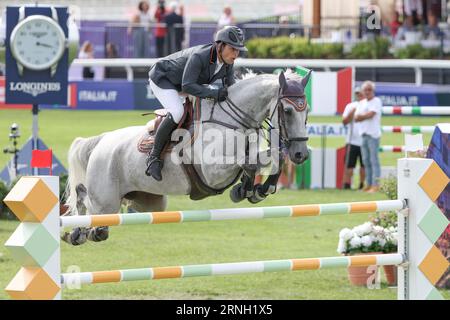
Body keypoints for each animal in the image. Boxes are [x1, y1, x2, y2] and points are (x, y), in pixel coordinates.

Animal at [61, 70, 312, 245]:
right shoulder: (212, 171)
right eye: (287, 111)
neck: (234, 121)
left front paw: (260, 189)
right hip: (106, 199)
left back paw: (82, 233)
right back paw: (77, 232)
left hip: (149, 203)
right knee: (87, 203)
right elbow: (249, 162)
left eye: (307, 111)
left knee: (104, 214)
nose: (300, 154)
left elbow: (273, 158)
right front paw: (245, 189)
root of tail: (102, 141)